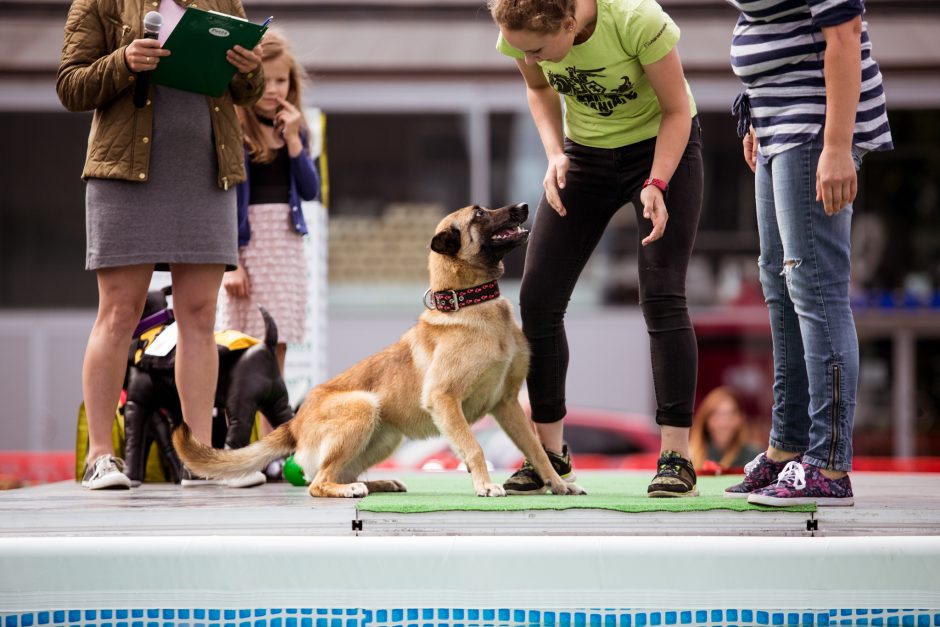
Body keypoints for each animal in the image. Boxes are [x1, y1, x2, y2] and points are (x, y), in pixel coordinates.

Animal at [125, 290, 292, 486]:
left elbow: (133, 443)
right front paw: (184, 473)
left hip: (240, 403)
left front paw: (131, 477)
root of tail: (267, 346)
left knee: (237, 432)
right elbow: (176, 444)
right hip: (278, 403)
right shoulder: (174, 410)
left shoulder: (136, 404)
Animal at [173, 204, 584, 498]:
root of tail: (295, 422)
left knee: (341, 473)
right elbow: (473, 447)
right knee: (317, 483)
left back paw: (376, 485)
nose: (524, 206)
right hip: (362, 408)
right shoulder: (445, 400)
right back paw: (351, 490)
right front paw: (484, 485)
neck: (470, 303)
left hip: (384, 435)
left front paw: (558, 483)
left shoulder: (508, 404)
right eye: (479, 214)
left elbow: (536, 449)